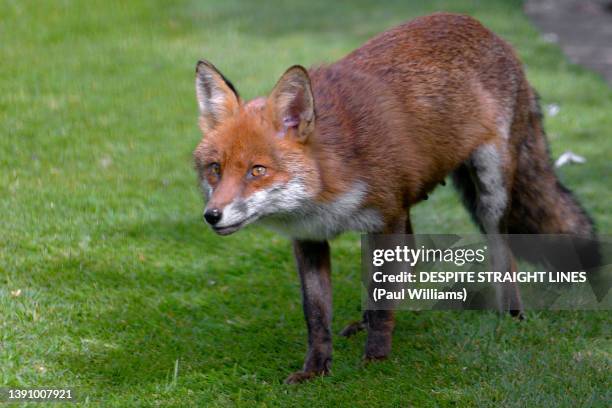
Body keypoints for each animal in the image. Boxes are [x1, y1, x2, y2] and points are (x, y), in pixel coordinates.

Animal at [191, 11, 596, 382]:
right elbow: (317, 314)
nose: (212, 215)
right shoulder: (310, 238)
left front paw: (376, 359)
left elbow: (381, 297)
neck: (329, 181)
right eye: (215, 169)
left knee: (502, 251)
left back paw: (512, 313)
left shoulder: (385, 218)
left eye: (256, 170)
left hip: (489, 194)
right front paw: (316, 370)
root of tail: (482, 26)